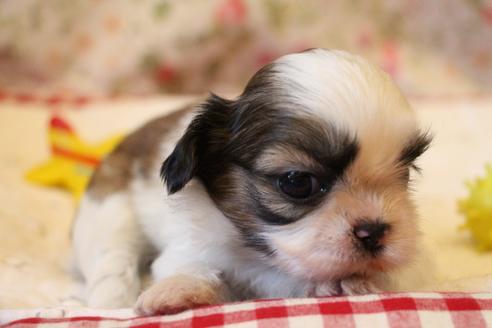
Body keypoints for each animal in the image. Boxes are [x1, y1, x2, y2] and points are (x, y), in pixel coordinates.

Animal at [72, 48, 430, 316]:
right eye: (297, 182)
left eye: (405, 174)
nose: (375, 231)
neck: (251, 249)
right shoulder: (189, 248)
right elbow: (200, 270)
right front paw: (178, 290)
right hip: (110, 213)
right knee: (112, 262)